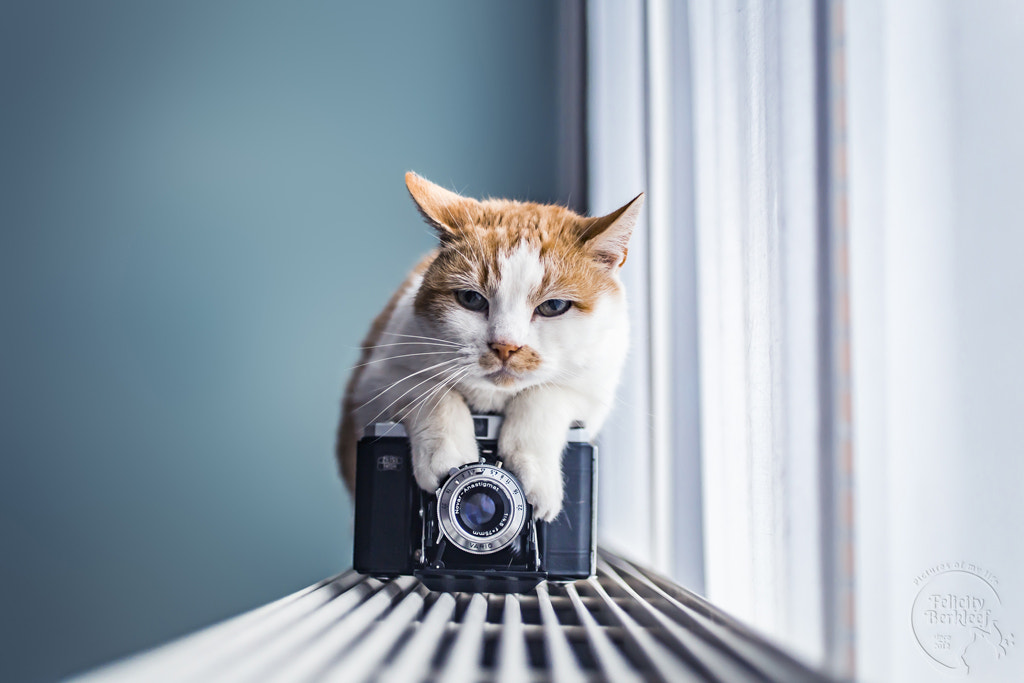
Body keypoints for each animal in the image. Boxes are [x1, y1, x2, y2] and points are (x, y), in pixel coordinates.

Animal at [335, 174, 638, 520]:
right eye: (471, 299)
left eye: (554, 306)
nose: (505, 347)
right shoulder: (374, 383)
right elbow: (434, 393)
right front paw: (448, 458)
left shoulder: (595, 386)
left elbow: (545, 394)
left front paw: (535, 475)